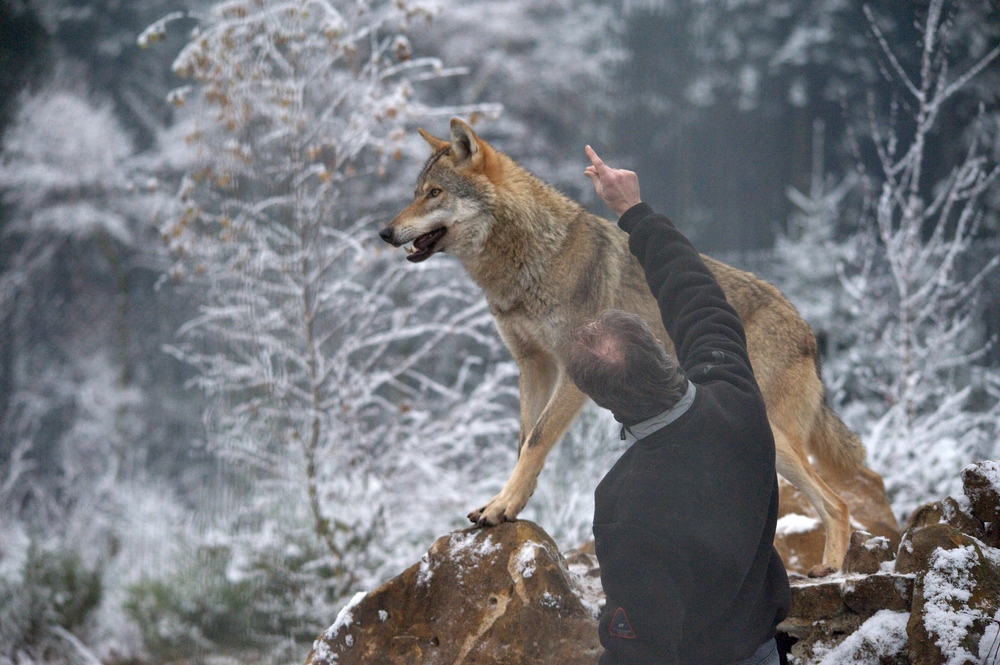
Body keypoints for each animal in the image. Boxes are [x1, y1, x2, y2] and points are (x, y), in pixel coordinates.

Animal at [380, 116, 868, 572]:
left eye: (435, 193)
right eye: (417, 192)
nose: (385, 232)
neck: (531, 256)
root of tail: (807, 330)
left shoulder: (572, 372)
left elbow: (537, 439)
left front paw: (502, 506)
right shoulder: (533, 366)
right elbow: (523, 443)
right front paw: (507, 503)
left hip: (770, 432)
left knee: (838, 503)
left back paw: (829, 567)